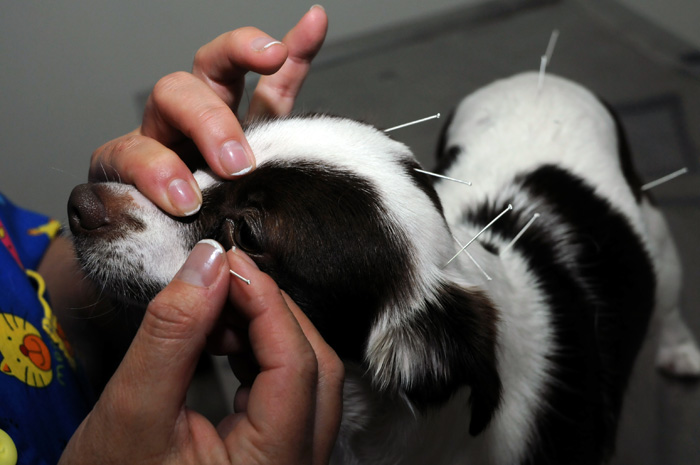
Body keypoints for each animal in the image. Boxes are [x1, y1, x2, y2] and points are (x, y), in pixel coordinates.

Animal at [68, 73, 696, 464]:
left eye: (245, 235)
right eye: (195, 160)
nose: (79, 203)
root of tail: (541, 80)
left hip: (663, 250)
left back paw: (680, 347)